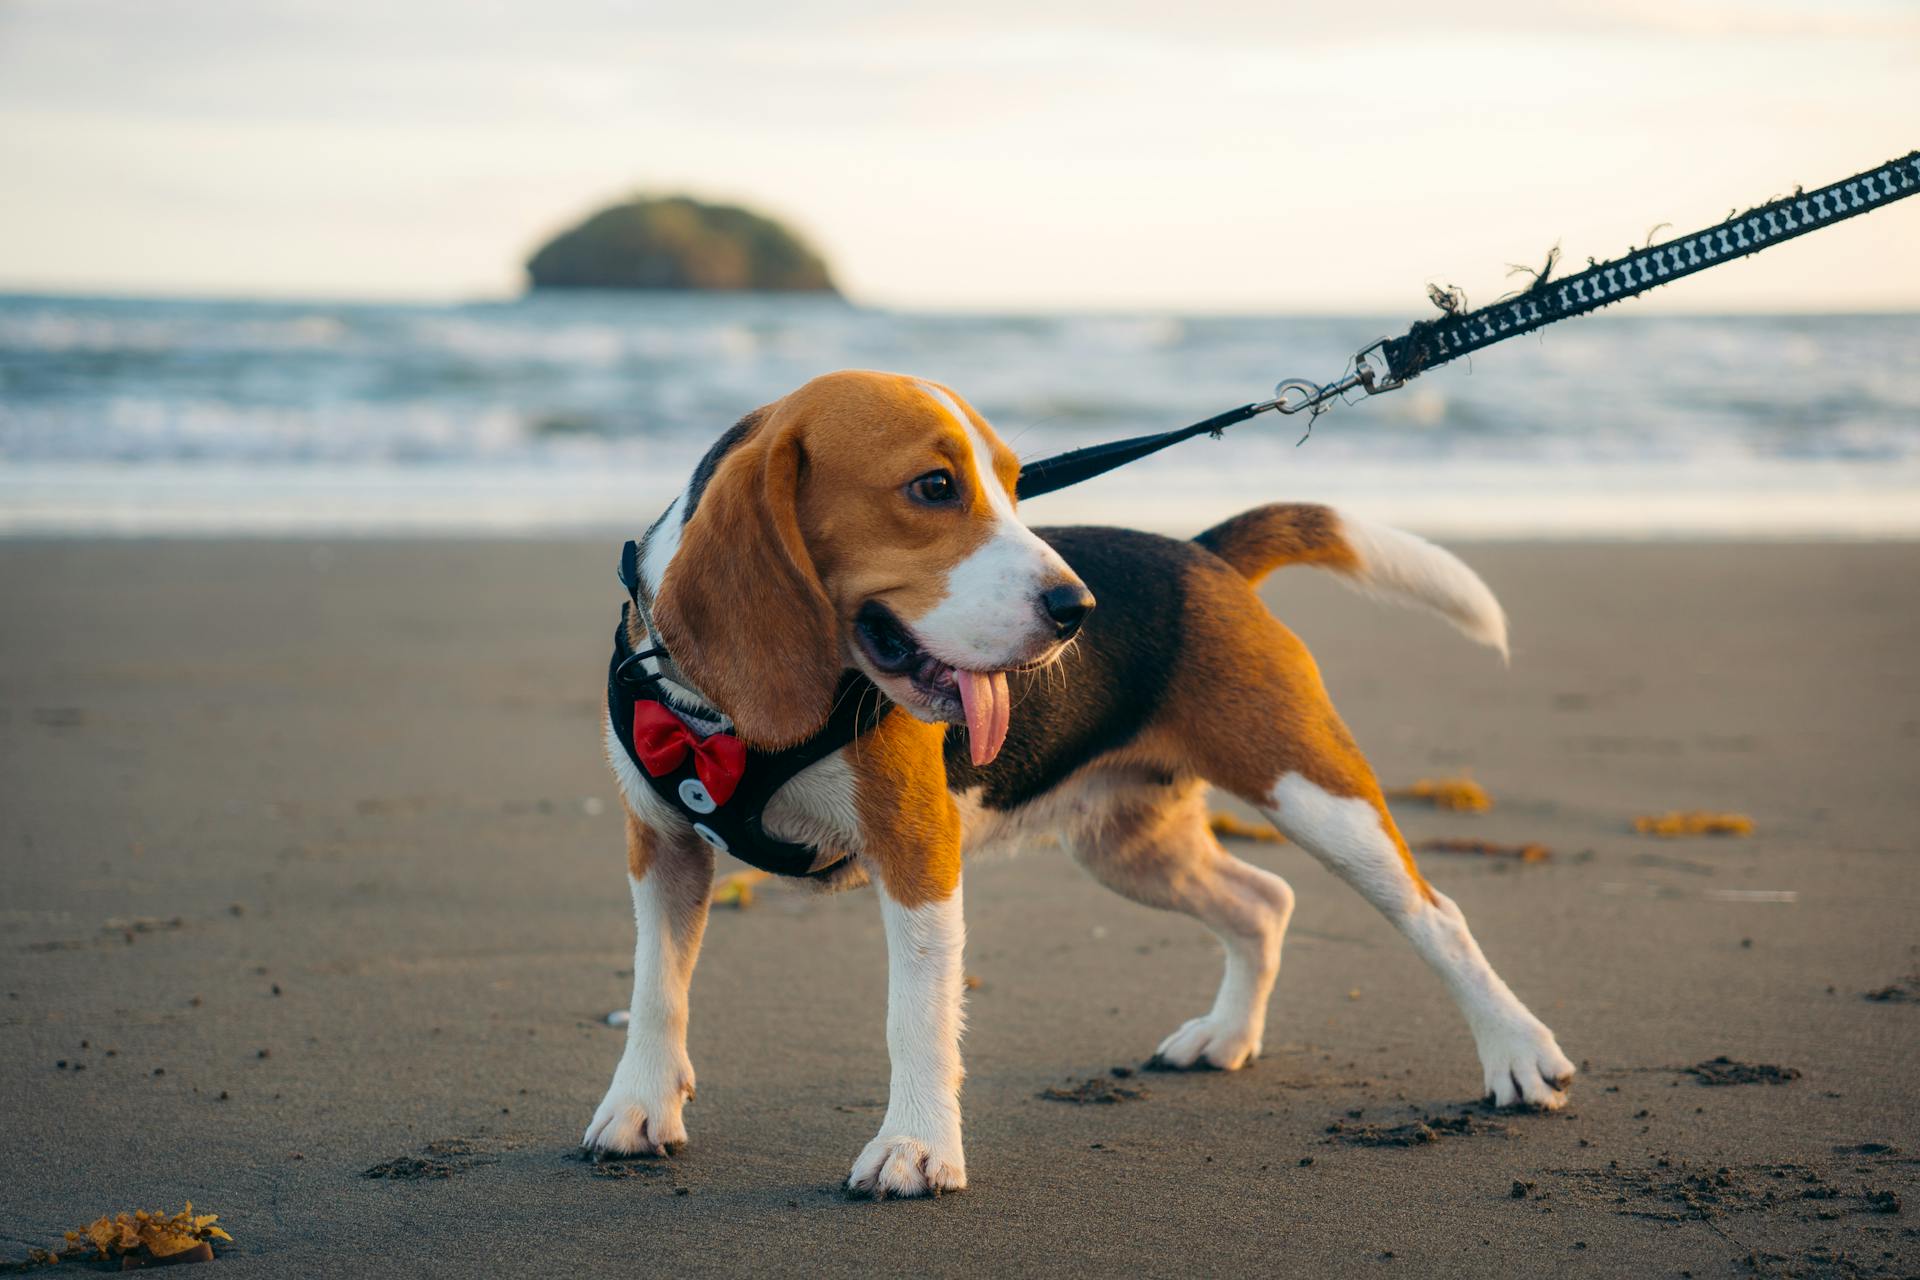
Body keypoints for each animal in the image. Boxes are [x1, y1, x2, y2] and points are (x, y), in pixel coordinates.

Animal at [587, 364, 1574, 1197]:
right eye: (934, 487)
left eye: (1015, 486)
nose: (1077, 609)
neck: (727, 721)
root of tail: (1205, 554)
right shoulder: (660, 849)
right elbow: (656, 988)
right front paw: (640, 1106)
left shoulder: (917, 848)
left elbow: (916, 1015)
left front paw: (917, 1147)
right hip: (1129, 847)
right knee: (1265, 901)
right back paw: (1228, 1036)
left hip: (1312, 791)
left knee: (1434, 915)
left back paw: (1518, 1053)